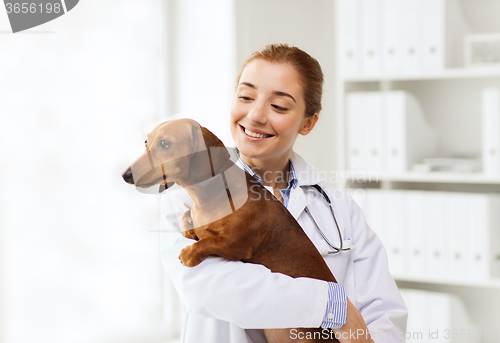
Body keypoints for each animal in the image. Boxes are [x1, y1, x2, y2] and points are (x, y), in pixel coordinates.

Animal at [122, 119, 340, 343]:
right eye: (146, 142)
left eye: (165, 144)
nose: (126, 175)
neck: (210, 196)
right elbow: (186, 217)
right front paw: (192, 228)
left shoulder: (237, 245)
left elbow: (209, 241)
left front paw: (189, 253)